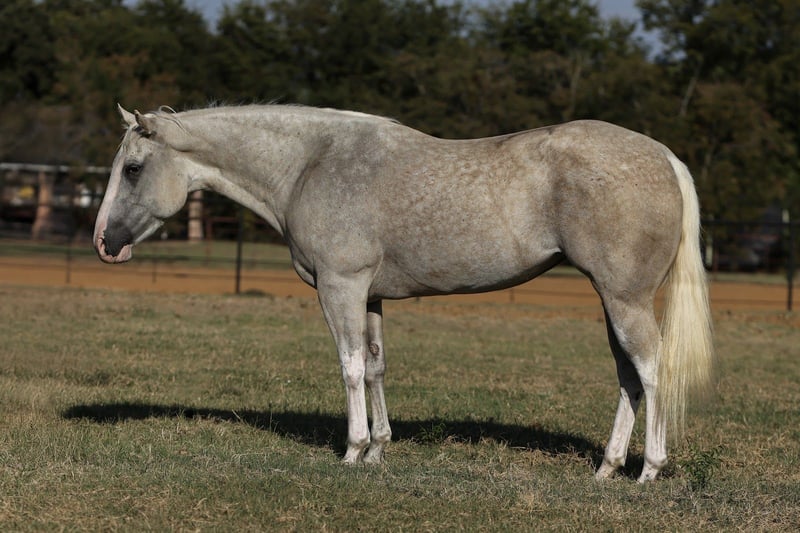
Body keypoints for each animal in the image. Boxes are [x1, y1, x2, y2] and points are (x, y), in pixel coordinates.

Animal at [93, 104, 713, 482]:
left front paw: (351, 451)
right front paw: (379, 448)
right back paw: (607, 467)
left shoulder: (340, 288)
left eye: (132, 168)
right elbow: (374, 367)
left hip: (625, 299)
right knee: (629, 376)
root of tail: (663, 155)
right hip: (613, 302)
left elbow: (348, 367)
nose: (105, 243)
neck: (310, 164)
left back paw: (649, 469)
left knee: (651, 370)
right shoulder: (369, 297)